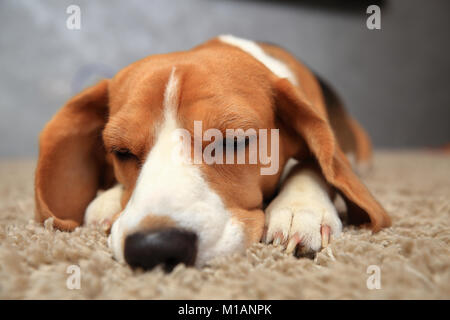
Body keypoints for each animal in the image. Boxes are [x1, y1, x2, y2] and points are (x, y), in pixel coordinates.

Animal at [34, 35, 390, 270]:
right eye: (120, 151)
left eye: (233, 142)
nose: (153, 248)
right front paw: (108, 201)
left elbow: (316, 163)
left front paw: (301, 210)